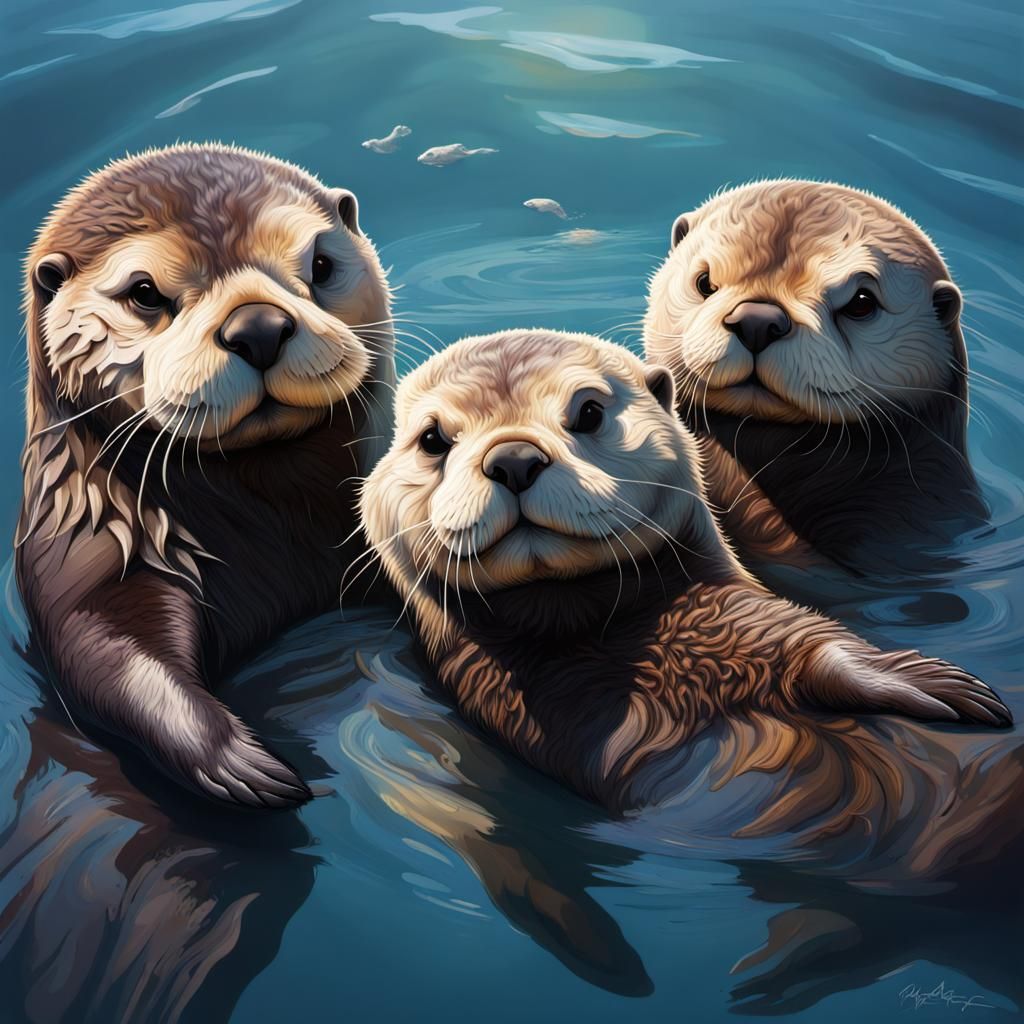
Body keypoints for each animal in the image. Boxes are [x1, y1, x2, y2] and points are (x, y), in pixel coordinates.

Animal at [16, 143, 395, 808]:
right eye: (144, 292)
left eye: (321, 264)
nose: (259, 327)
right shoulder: (89, 549)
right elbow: (104, 647)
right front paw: (244, 763)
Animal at [360, 329, 1009, 824]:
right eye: (432, 439)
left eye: (589, 410)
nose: (514, 458)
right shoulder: (573, 721)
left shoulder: (750, 616)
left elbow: (816, 643)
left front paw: (939, 685)